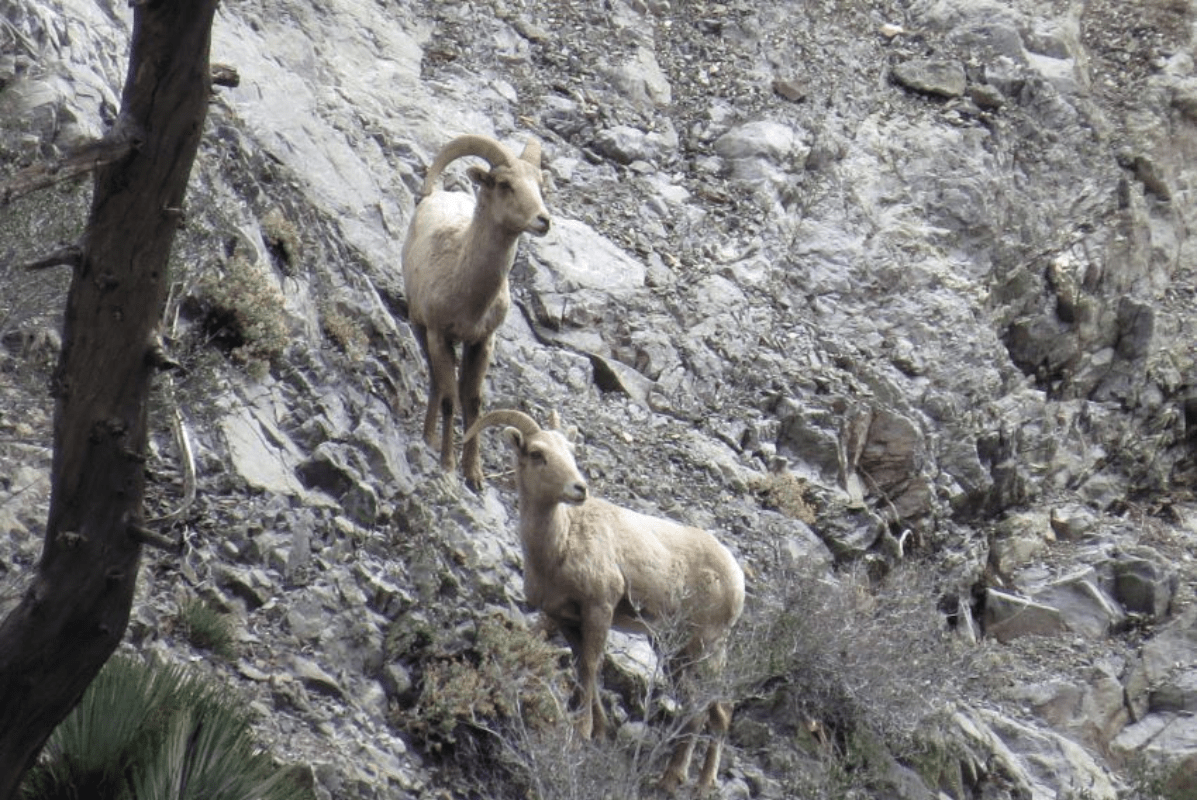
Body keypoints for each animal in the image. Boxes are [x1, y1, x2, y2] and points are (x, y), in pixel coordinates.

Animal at [402, 134, 551, 489]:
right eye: (505, 184)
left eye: (540, 186)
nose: (543, 220)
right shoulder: (440, 336)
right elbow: (449, 398)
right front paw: (448, 465)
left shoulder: (482, 342)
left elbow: (473, 402)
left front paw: (475, 476)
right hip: (420, 330)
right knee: (437, 383)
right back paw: (429, 440)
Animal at [464, 409, 746, 792]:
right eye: (537, 454)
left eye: (570, 452)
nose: (579, 489)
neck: (560, 544)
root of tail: (737, 578)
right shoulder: (567, 619)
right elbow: (584, 667)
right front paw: (598, 731)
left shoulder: (599, 608)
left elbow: (590, 665)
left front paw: (582, 732)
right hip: (678, 651)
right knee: (717, 708)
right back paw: (697, 782)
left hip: (702, 645)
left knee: (701, 707)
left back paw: (676, 779)